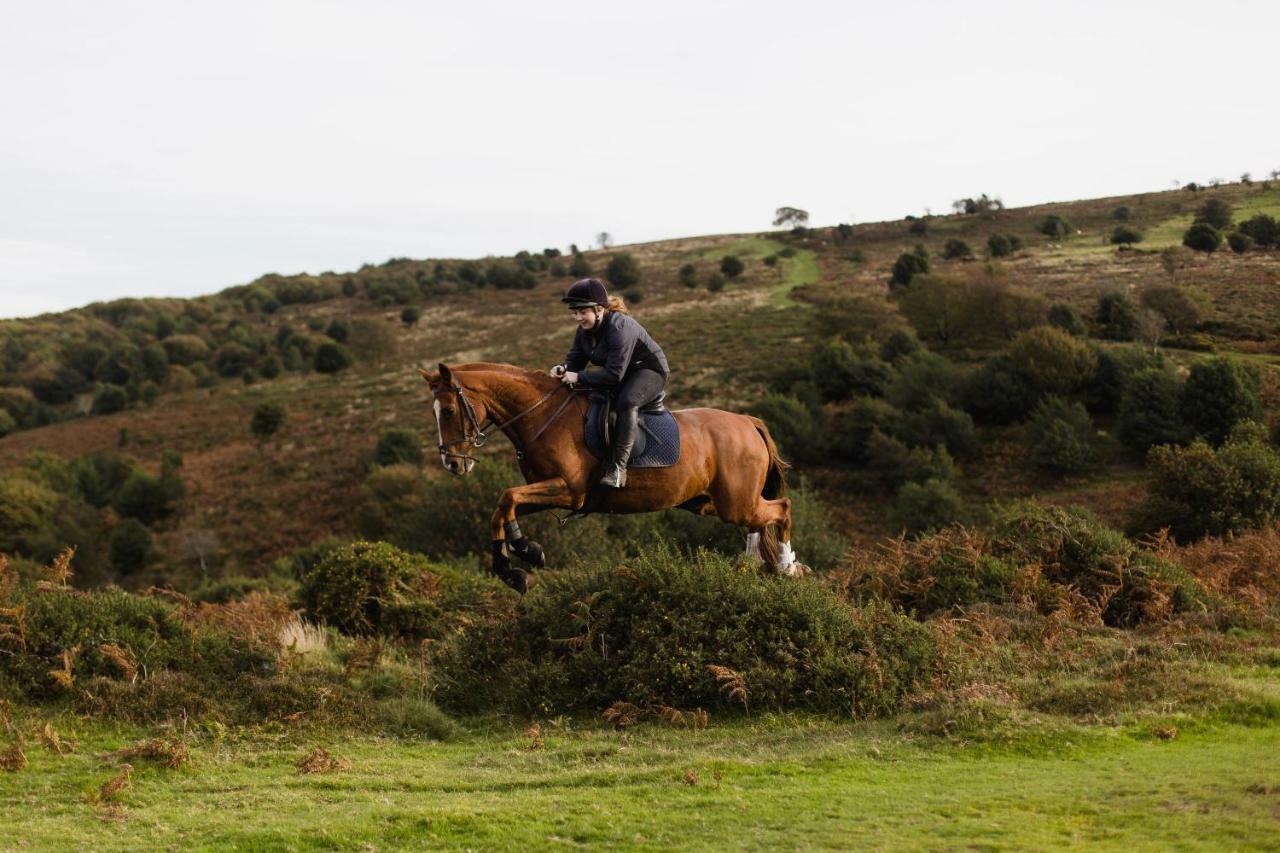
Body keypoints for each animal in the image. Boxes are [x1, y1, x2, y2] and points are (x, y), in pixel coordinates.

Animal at [419, 361, 803, 591]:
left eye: (449, 410)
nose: (453, 464)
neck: (541, 414)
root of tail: (748, 422)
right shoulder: (547, 492)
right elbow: (501, 508)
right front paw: (513, 565)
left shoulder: (568, 490)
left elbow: (507, 497)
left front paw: (526, 552)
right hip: (708, 502)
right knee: (757, 522)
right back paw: (751, 565)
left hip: (735, 502)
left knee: (781, 509)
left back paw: (785, 566)